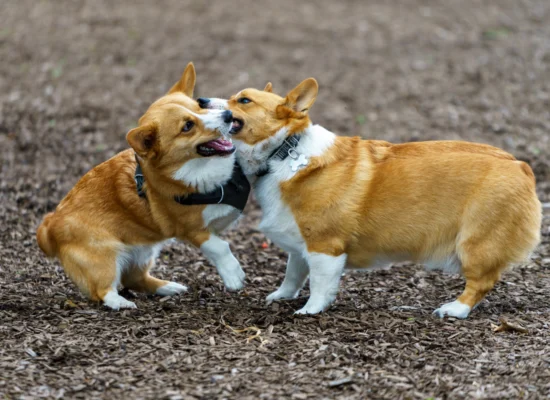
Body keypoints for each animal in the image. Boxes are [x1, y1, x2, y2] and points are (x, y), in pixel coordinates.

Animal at [38, 64, 252, 310]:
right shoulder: (191, 230)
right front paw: (233, 275)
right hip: (105, 257)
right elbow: (219, 246)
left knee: (135, 279)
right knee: (103, 290)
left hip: (144, 252)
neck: (200, 170)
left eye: (198, 105)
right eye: (187, 126)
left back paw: (168, 288)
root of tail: (49, 224)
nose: (228, 116)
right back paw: (122, 303)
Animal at [199, 77, 544, 316]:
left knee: (481, 282)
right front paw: (281, 296)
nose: (200, 100)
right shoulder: (300, 242)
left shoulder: (325, 246)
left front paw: (309, 311)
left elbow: (320, 285)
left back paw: (454, 309)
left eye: (243, 100)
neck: (283, 151)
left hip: (475, 243)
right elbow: (293, 274)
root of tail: (521, 166)